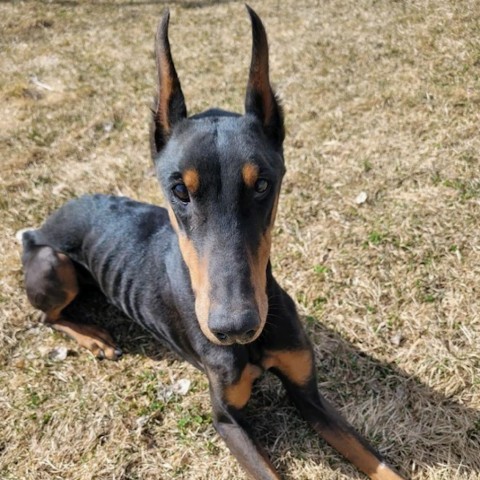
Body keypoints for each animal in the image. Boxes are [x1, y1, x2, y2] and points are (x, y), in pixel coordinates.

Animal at [22, 7, 404, 480]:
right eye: (179, 191)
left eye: (263, 184)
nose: (234, 328)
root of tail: (39, 228)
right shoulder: (226, 418)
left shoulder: (309, 393)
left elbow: (374, 458)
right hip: (53, 263)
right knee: (46, 317)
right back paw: (94, 338)